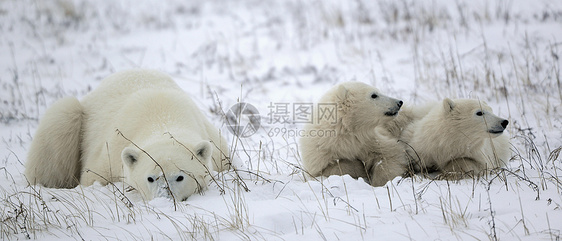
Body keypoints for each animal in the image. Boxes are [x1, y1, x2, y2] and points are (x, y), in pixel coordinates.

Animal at [25, 69, 228, 201]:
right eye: (150, 178)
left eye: (180, 176)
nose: (164, 198)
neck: (163, 116)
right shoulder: (110, 153)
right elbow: (93, 177)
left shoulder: (216, 146)